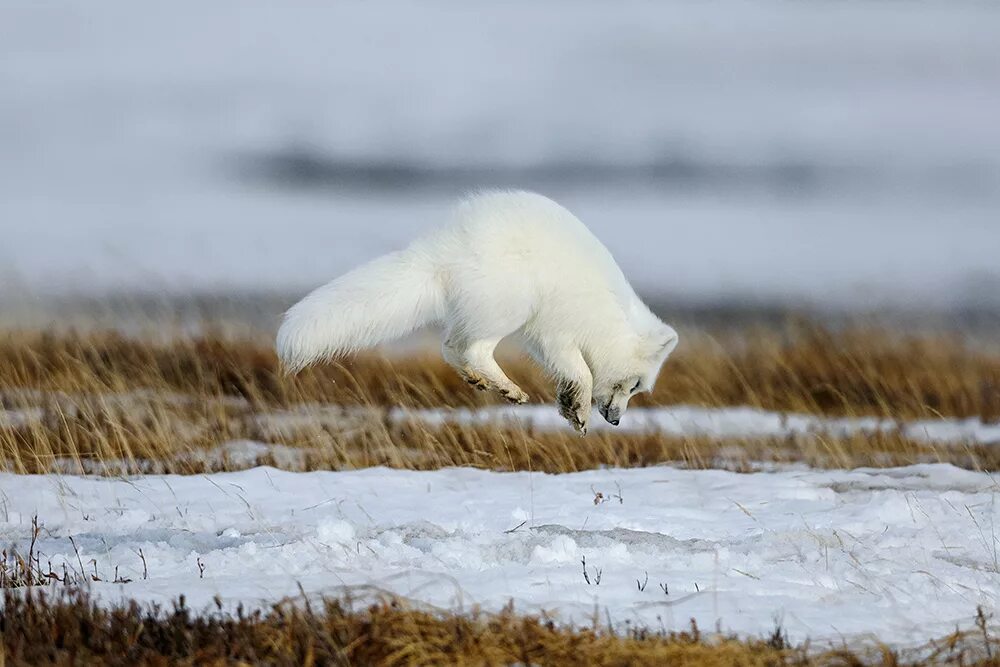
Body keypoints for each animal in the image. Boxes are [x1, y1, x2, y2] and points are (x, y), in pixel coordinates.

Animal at [278, 190, 676, 436]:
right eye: (636, 385)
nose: (617, 422)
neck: (610, 319)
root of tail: (441, 251)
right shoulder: (557, 332)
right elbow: (583, 372)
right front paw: (579, 411)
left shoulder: (545, 339)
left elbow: (572, 375)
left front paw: (568, 405)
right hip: (514, 304)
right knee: (472, 348)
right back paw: (508, 388)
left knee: (451, 347)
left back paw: (486, 383)